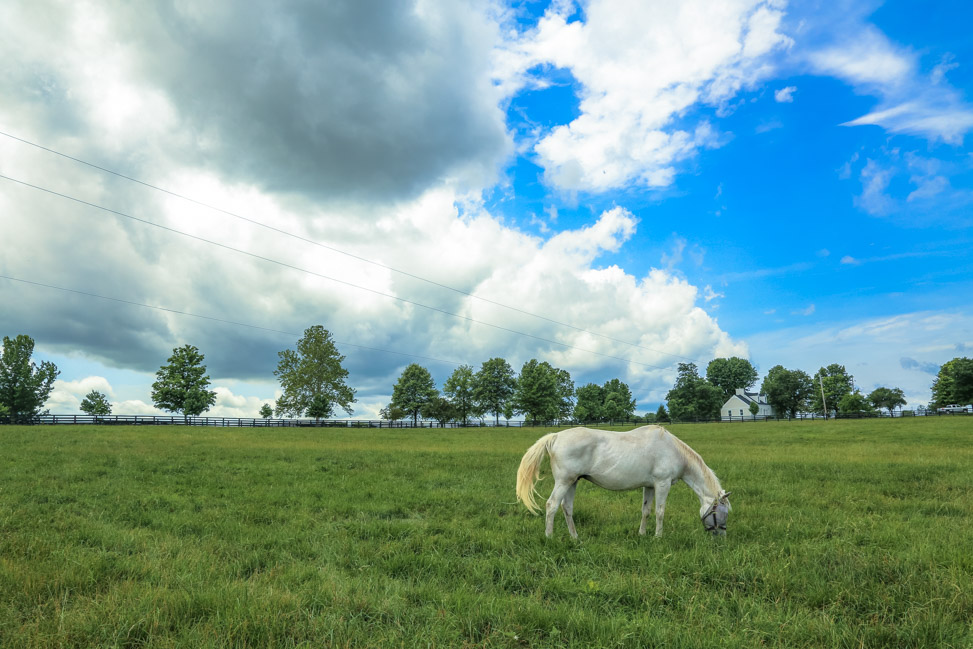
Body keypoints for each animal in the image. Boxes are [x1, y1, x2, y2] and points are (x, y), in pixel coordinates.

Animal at [516, 426, 728, 536]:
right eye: (722, 512)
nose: (721, 535)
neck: (672, 450)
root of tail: (556, 436)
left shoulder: (650, 486)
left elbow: (646, 511)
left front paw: (642, 534)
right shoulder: (662, 484)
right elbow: (660, 512)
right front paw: (658, 537)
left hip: (572, 482)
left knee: (566, 508)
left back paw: (575, 537)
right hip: (563, 482)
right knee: (551, 505)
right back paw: (549, 537)